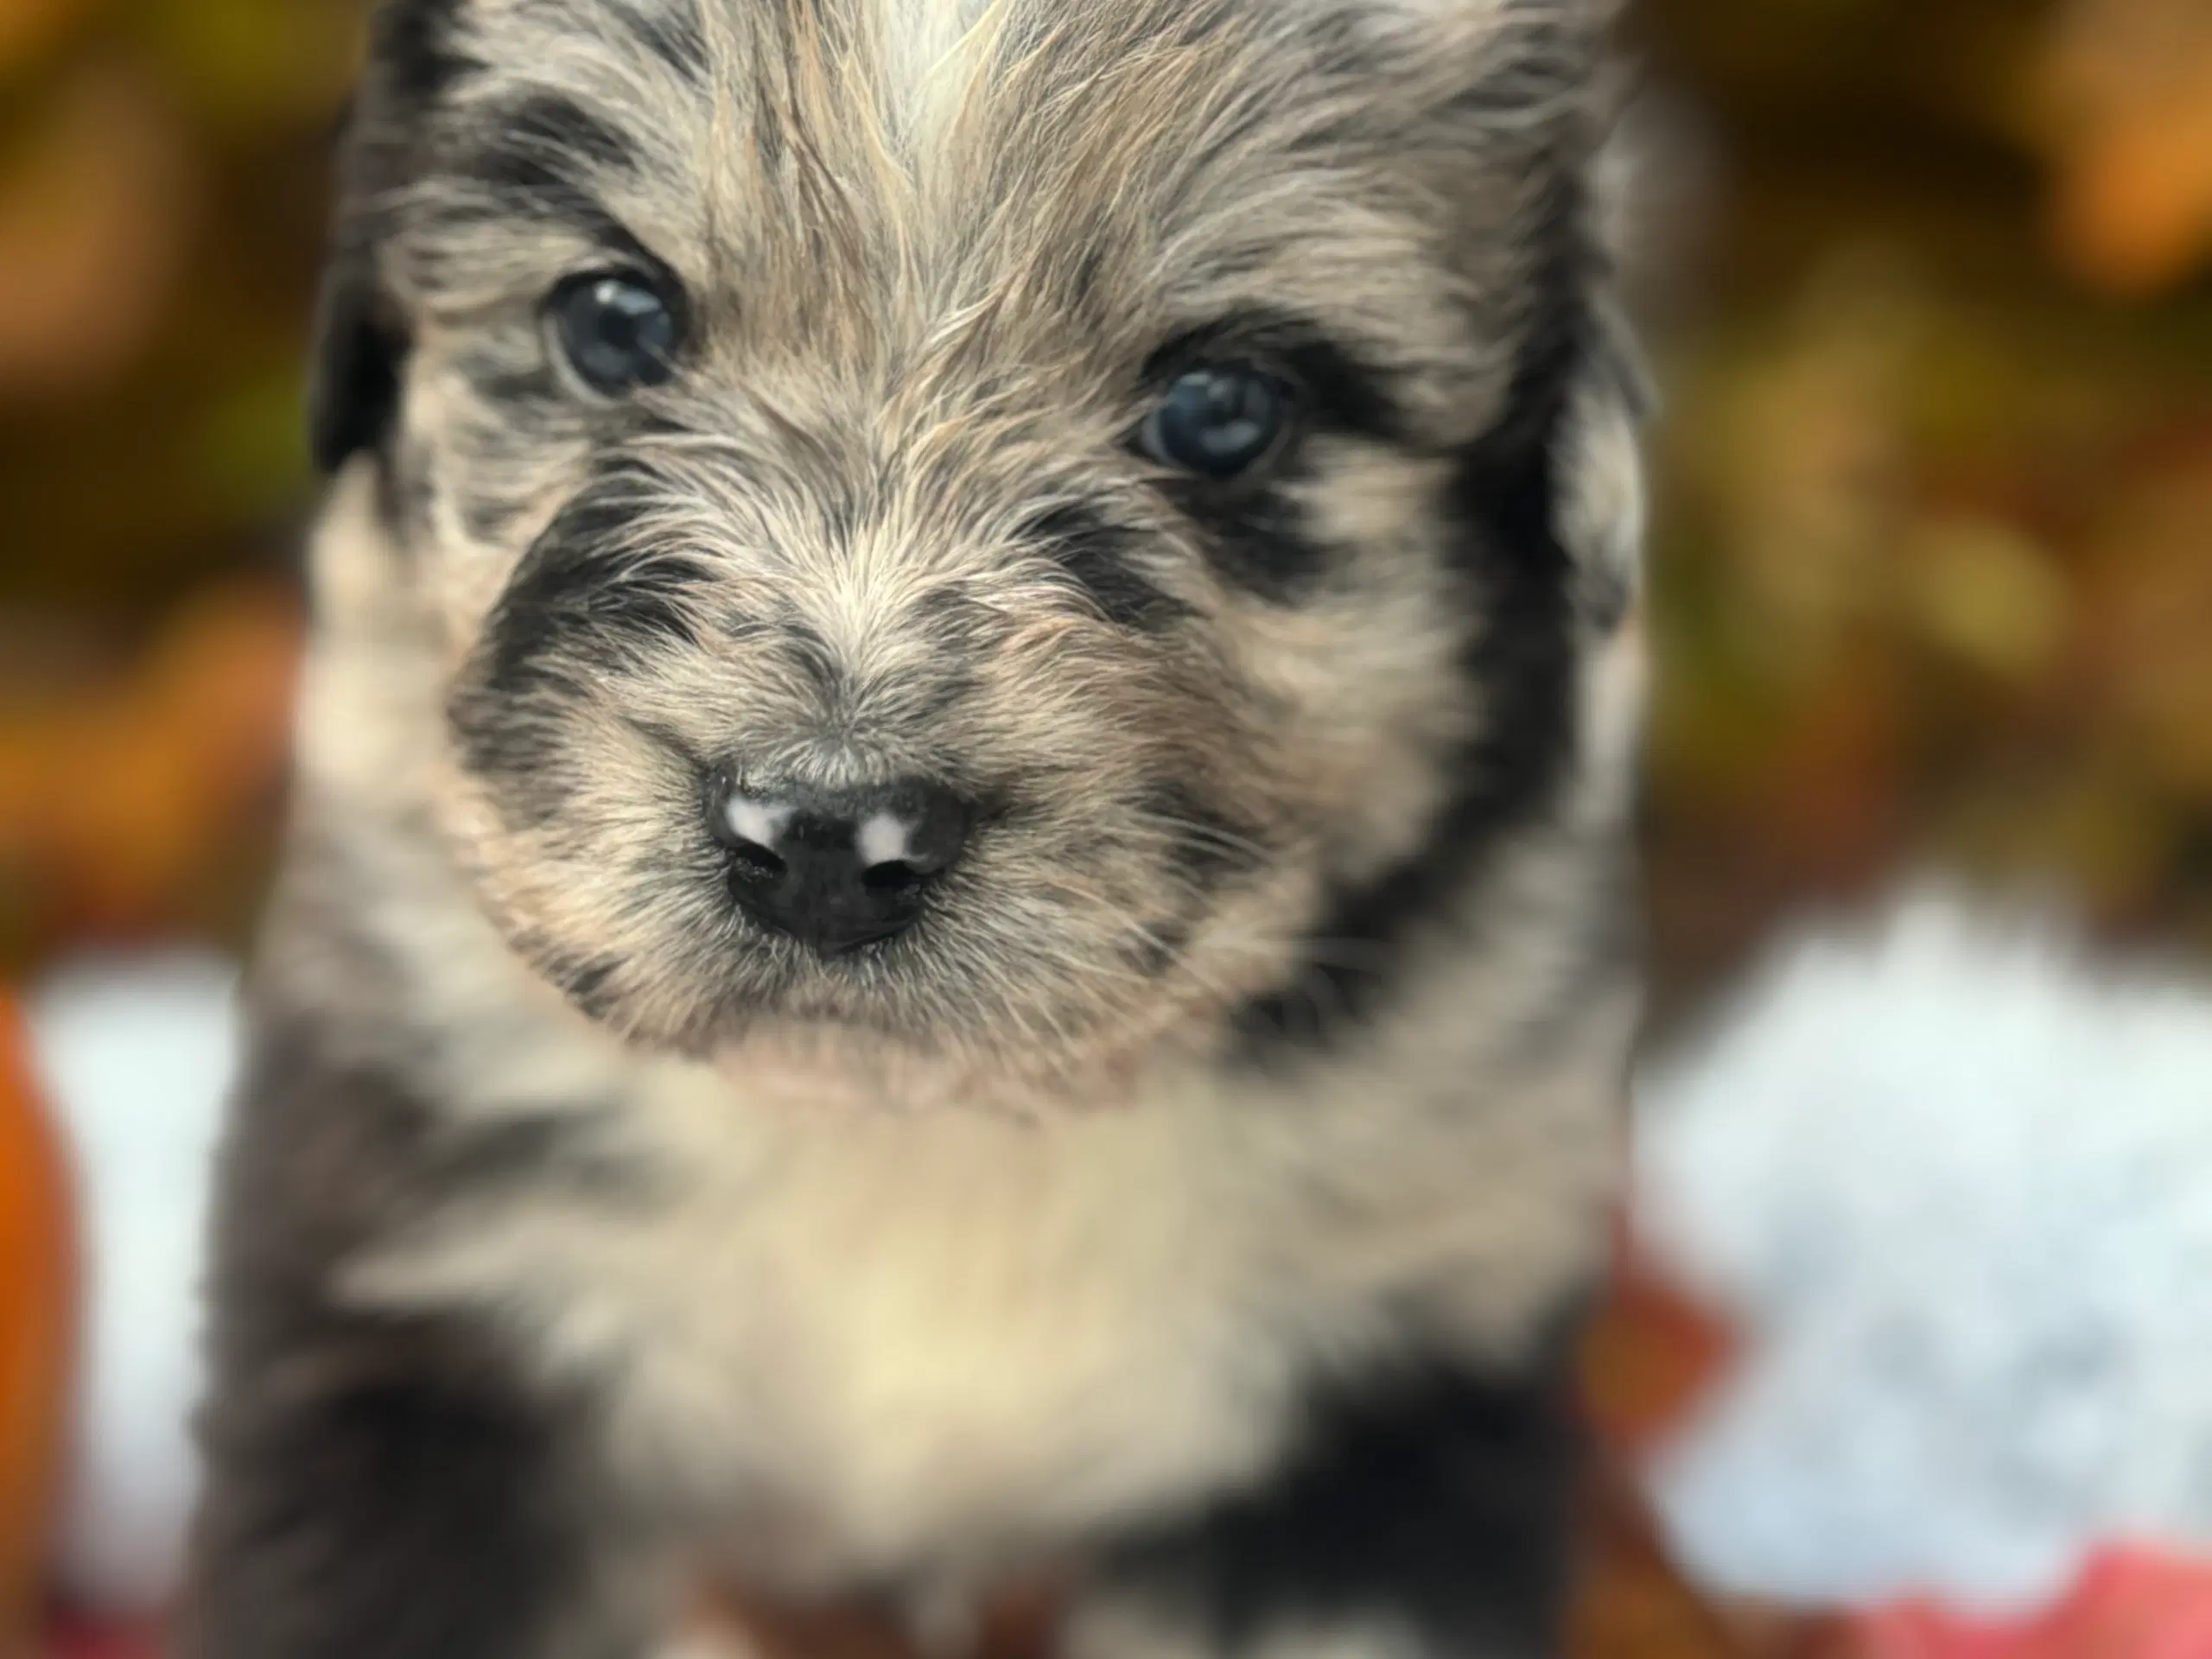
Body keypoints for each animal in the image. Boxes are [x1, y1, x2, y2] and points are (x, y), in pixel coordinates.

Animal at [186, 0, 1645, 1654]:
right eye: (616, 322)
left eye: (1224, 411)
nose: (825, 840)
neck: (913, 1136)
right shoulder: (417, 1338)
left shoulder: (1380, 1414)